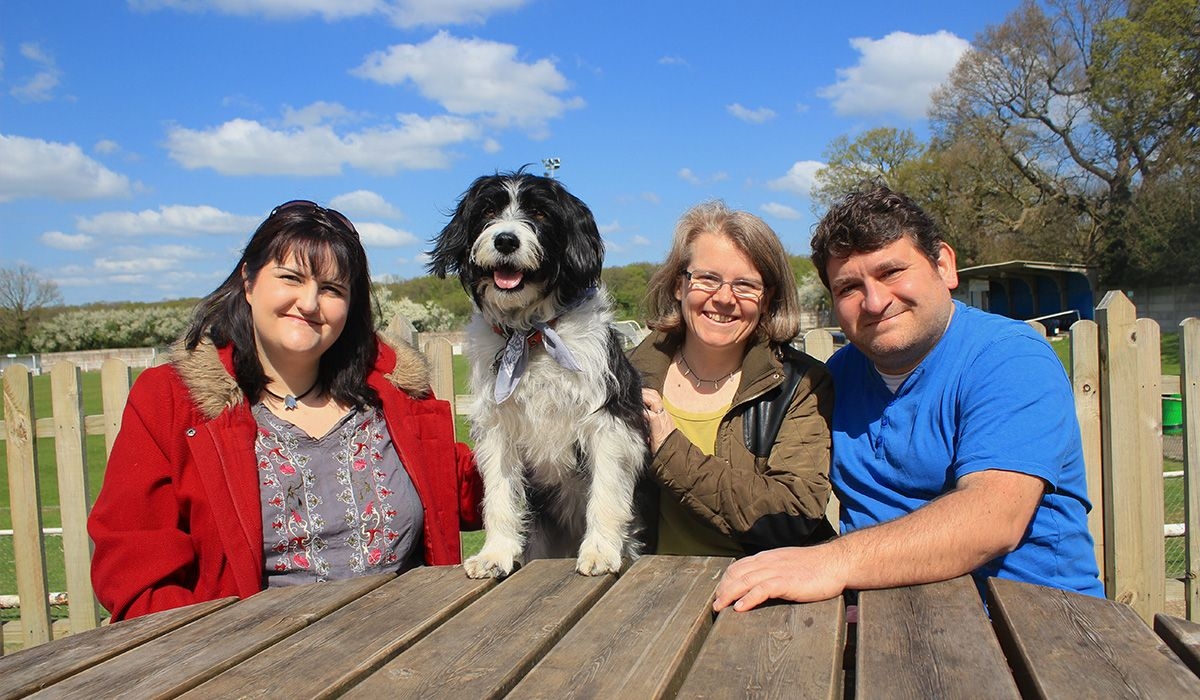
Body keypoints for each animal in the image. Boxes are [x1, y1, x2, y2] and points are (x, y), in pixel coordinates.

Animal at [429, 172, 648, 578]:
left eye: (541, 213)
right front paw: (496, 553)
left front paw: (600, 550)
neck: (531, 335)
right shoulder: (497, 428)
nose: (505, 239)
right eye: (488, 210)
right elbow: (500, 496)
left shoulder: (608, 422)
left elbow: (606, 492)